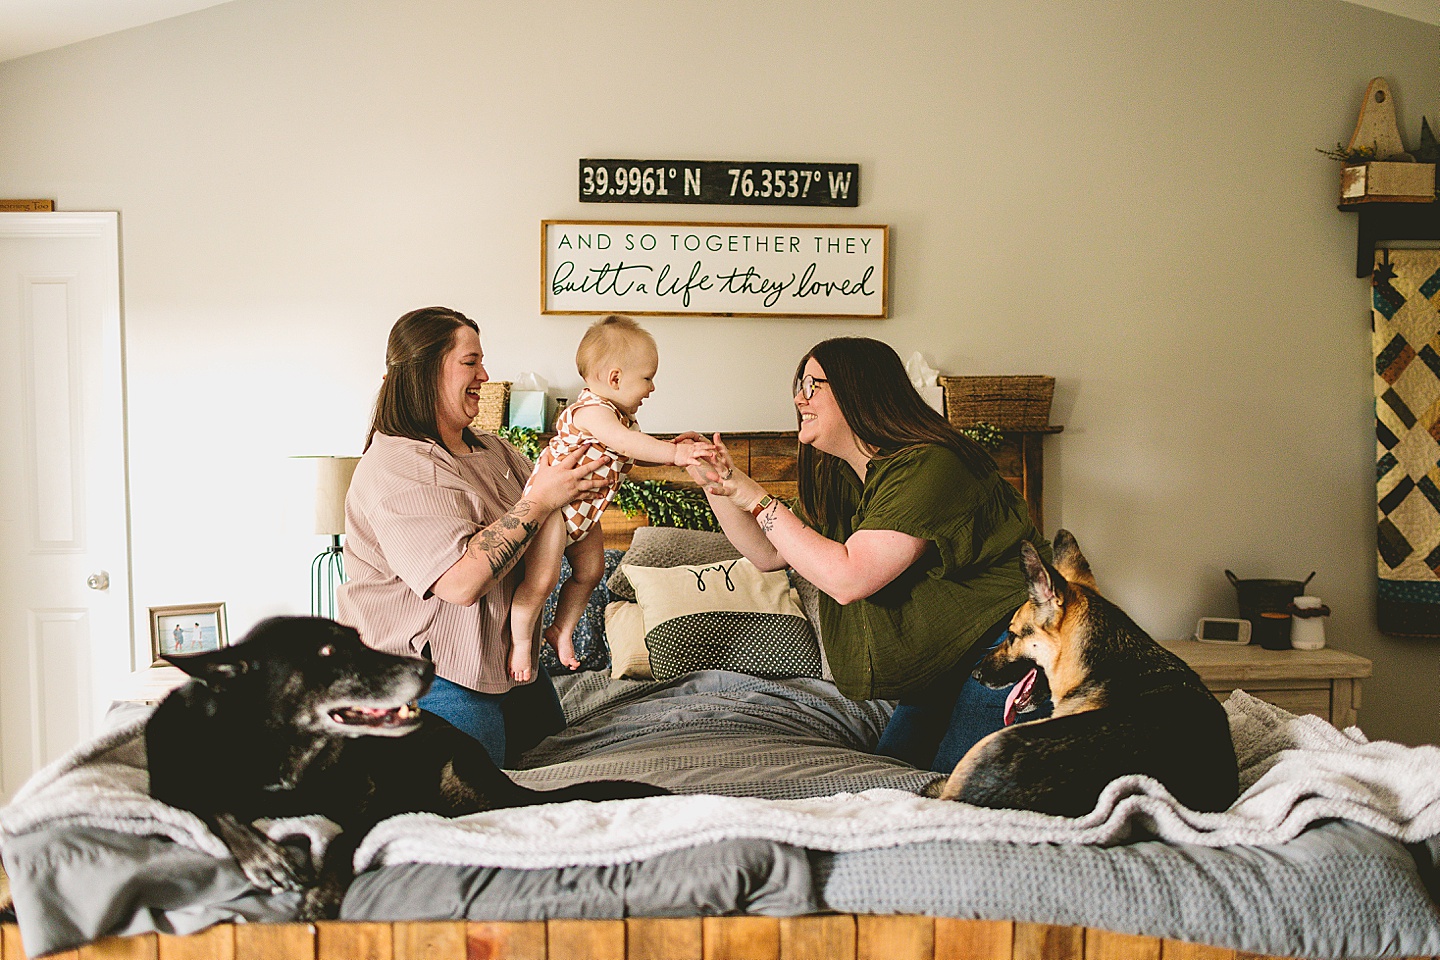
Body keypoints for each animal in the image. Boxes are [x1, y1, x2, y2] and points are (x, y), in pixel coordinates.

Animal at [146, 618, 662, 921]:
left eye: (358, 639)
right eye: (328, 653)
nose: (427, 668)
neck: (287, 754)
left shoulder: (367, 804)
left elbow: (340, 843)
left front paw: (322, 893)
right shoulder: (168, 785)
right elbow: (210, 806)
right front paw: (263, 857)